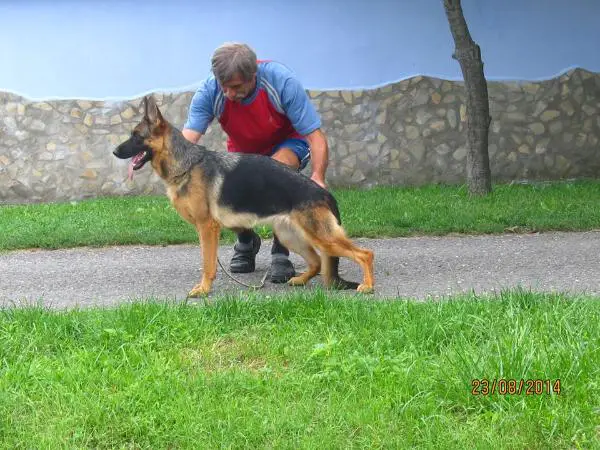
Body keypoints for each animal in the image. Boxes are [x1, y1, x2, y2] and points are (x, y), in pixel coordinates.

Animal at [112, 96, 372, 298]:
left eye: (136, 136)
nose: (114, 151)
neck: (186, 164)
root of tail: (323, 192)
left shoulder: (207, 228)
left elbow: (207, 263)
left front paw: (203, 289)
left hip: (322, 237)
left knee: (365, 254)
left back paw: (368, 285)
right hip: (290, 235)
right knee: (317, 262)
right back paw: (300, 280)